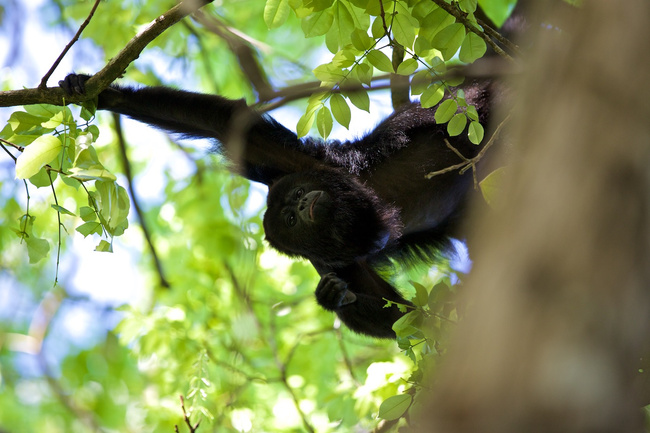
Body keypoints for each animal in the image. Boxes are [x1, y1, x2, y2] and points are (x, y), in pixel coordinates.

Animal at [60, 74, 494, 338]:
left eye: (296, 198)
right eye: (290, 218)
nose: (303, 207)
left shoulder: (297, 165)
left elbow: (225, 122)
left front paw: (105, 94)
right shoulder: (333, 261)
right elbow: (406, 319)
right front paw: (333, 299)